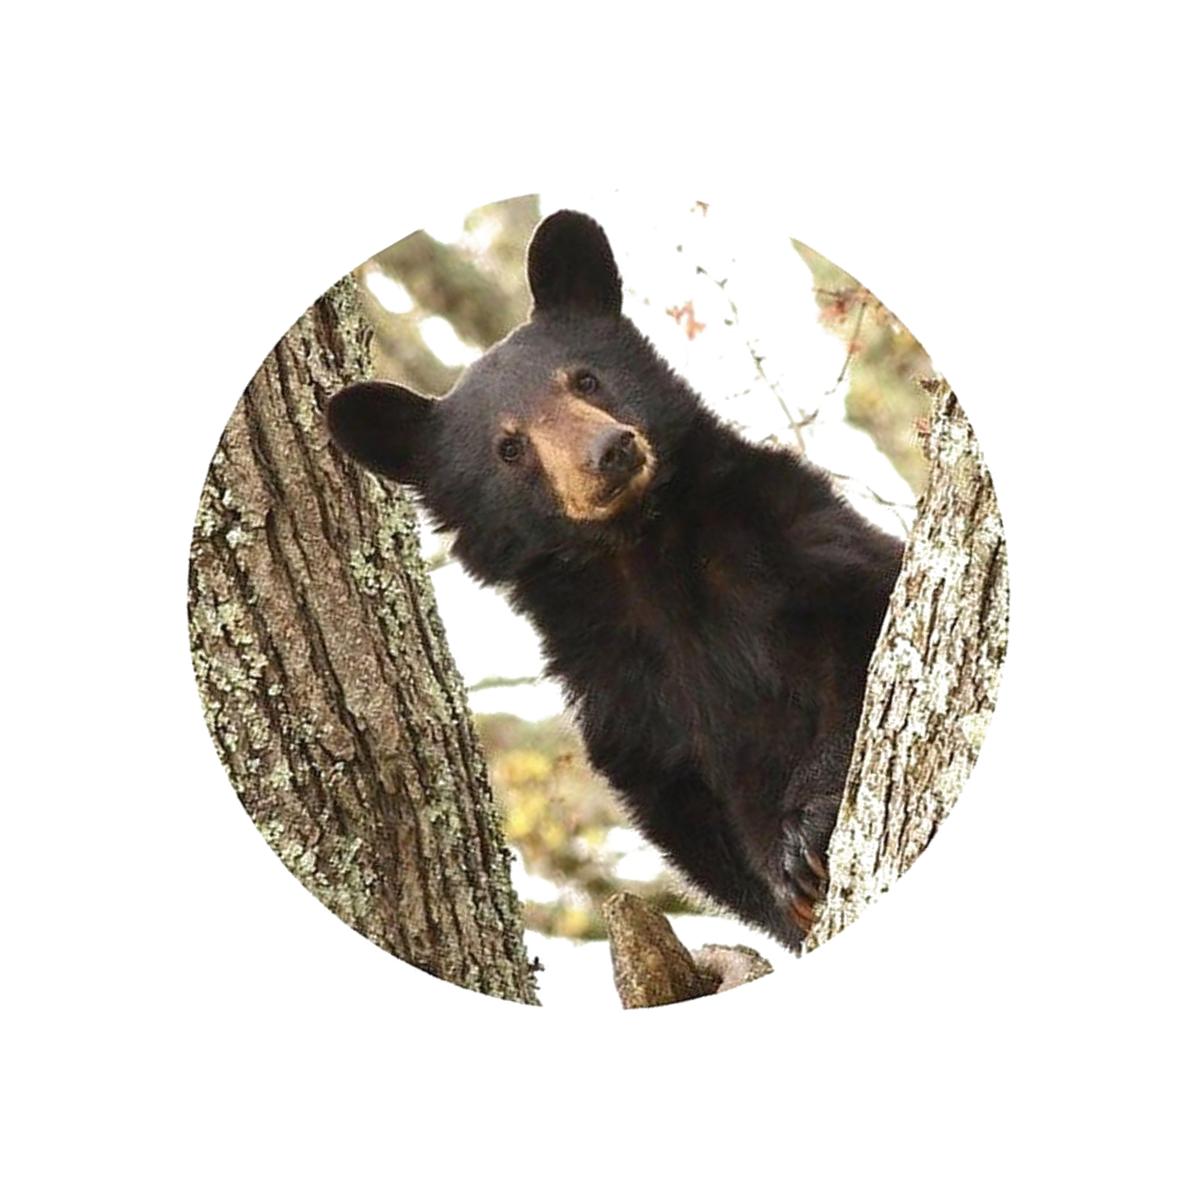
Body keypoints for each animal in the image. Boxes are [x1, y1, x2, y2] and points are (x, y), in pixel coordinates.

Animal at [327, 210, 904, 953]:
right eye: (508, 447)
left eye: (585, 380)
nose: (609, 453)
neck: (643, 551)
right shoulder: (619, 686)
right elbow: (692, 820)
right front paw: (787, 888)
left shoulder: (790, 534)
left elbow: (862, 635)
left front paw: (807, 835)